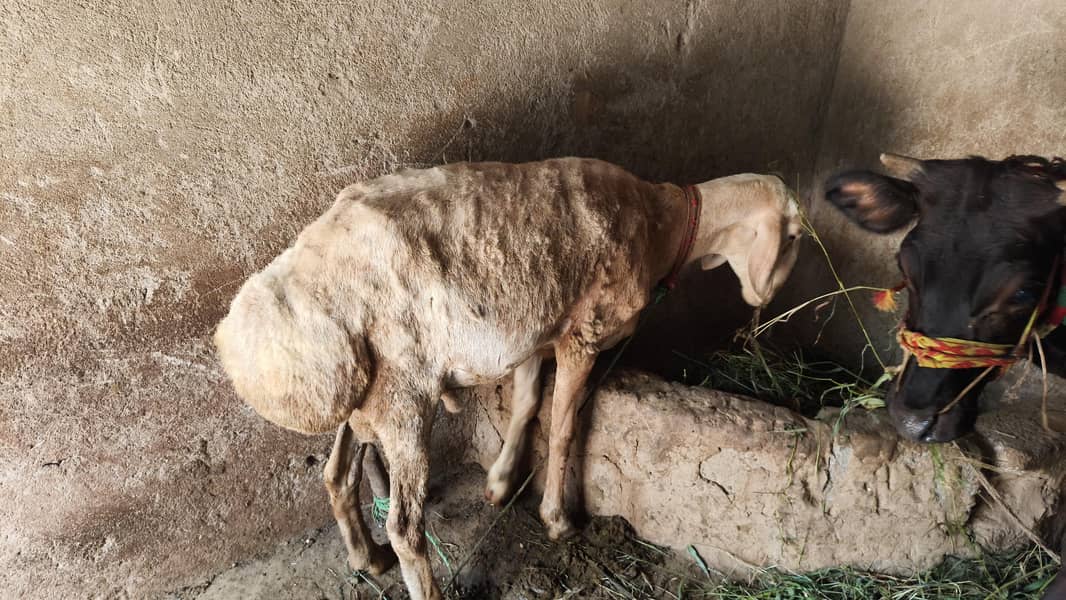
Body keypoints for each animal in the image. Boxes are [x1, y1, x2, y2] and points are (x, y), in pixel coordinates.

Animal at [214, 157, 802, 600]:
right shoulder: (582, 334)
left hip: (366, 396)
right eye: (796, 239)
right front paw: (558, 521)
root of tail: (291, 290)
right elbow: (563, 427)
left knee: (337, 475)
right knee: (404, 524)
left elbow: (526, 404)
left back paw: (369, 559)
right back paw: (420, 583)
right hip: (403, 395)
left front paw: (499, 483)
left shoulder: (535, 332)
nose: (768, 301)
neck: (663, 227)